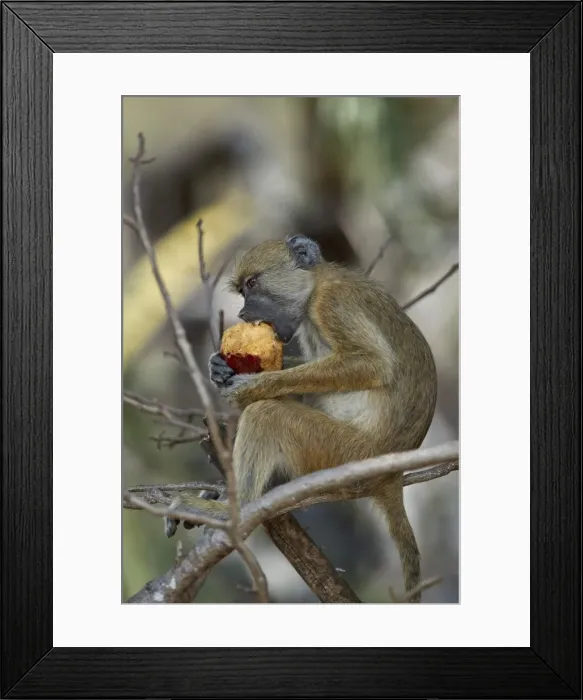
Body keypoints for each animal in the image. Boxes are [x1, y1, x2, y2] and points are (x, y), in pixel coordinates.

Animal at [194, 234, 437, 601]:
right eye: (242, 290)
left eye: (253, 284)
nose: (242, 313)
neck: (317, 283)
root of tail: (389, 475)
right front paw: (219, 367)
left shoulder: (332, 304)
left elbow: (372, 365)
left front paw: (252, 387)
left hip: (342, 453)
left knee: (267, 414)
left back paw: (234, 511)